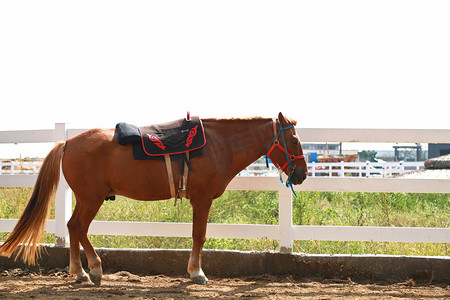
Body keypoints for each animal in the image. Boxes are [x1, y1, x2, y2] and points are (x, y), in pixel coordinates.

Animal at [0, 112, 306, 284]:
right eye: (293, 140)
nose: (302, 174)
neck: (218, 145)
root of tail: (68, 142)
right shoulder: (202, 198)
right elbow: (199, 235)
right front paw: (196, 273)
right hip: (91, 198)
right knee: (77, 227)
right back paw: (93, 269)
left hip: (87, 198)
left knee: (74, 228)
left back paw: (80, 272)